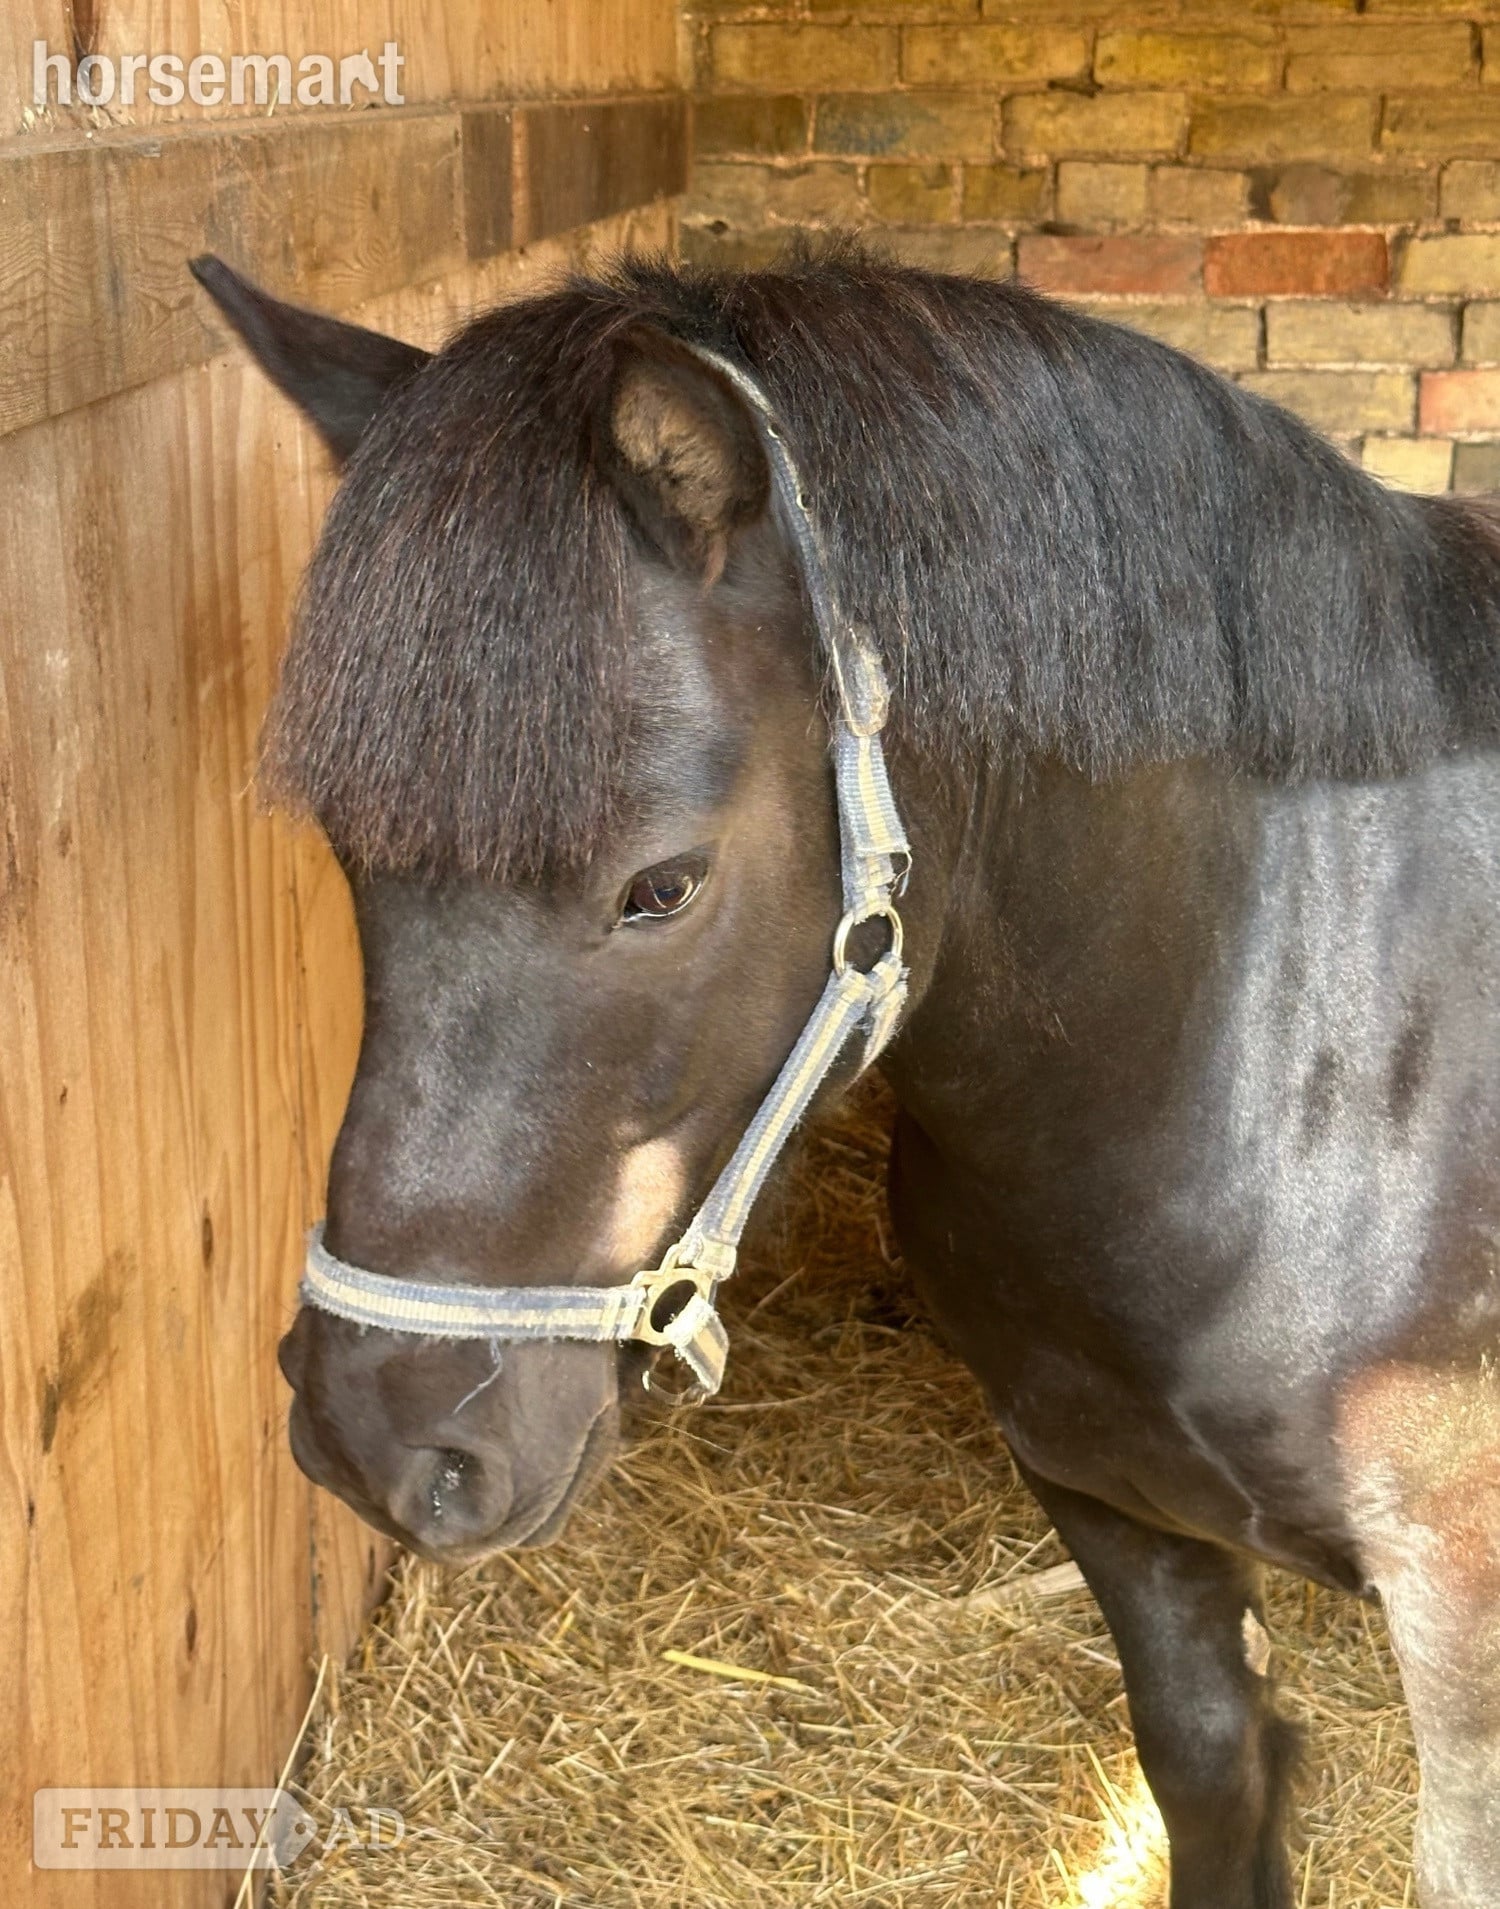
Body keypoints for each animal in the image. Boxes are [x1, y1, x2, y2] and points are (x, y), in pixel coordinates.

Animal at [191, 240, 1500, 1909]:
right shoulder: (1113, 1508)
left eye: (662, 886)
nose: (379, 1438)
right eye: (354, 857)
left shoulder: (1462, 1612)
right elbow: (1217, 1778)